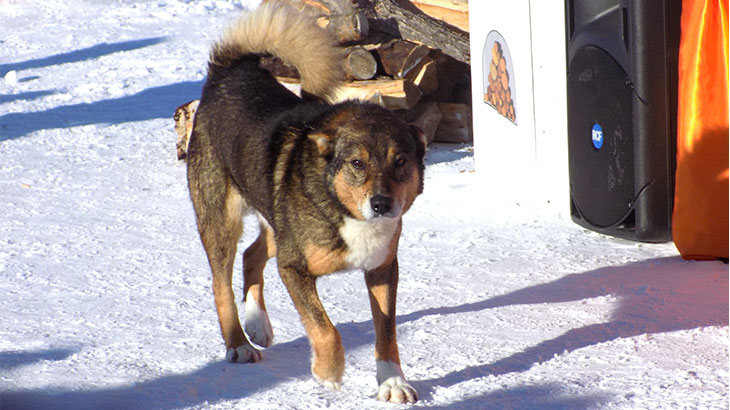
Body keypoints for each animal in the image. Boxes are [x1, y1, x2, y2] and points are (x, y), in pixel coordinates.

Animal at [188, 1, 424, 402]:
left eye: (401, 161)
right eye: (357, 163)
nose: (381, 204)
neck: (343, 210)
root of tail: (231, 70)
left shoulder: (382, 269)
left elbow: (386, 332)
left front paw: (392, 383)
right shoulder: (294, 267)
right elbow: (326, 328)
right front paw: (328, 373)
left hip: (274, 218)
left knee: (251, 255)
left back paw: (258, 325)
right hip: (222, 222)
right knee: (222, 285)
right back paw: (239, 343)